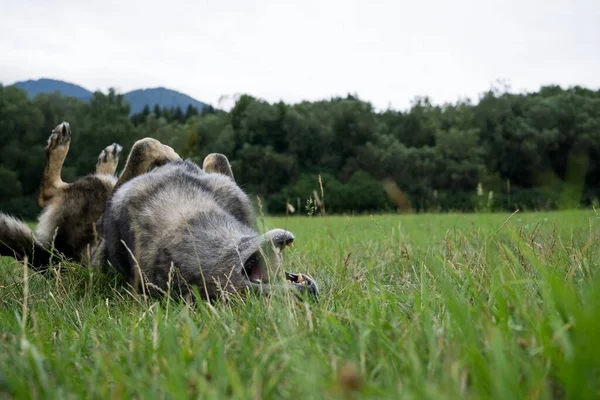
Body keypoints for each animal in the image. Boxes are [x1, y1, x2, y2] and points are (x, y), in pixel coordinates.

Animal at [0, 122, 318, 304]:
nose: (311, 291)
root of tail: (55, 255)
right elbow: (214, 156)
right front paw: (178, 158)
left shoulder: (115, 206)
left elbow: (145, 145)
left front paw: (172, 156)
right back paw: (106, 157)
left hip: (88, 195)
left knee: (49, 191)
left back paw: (73, 147)